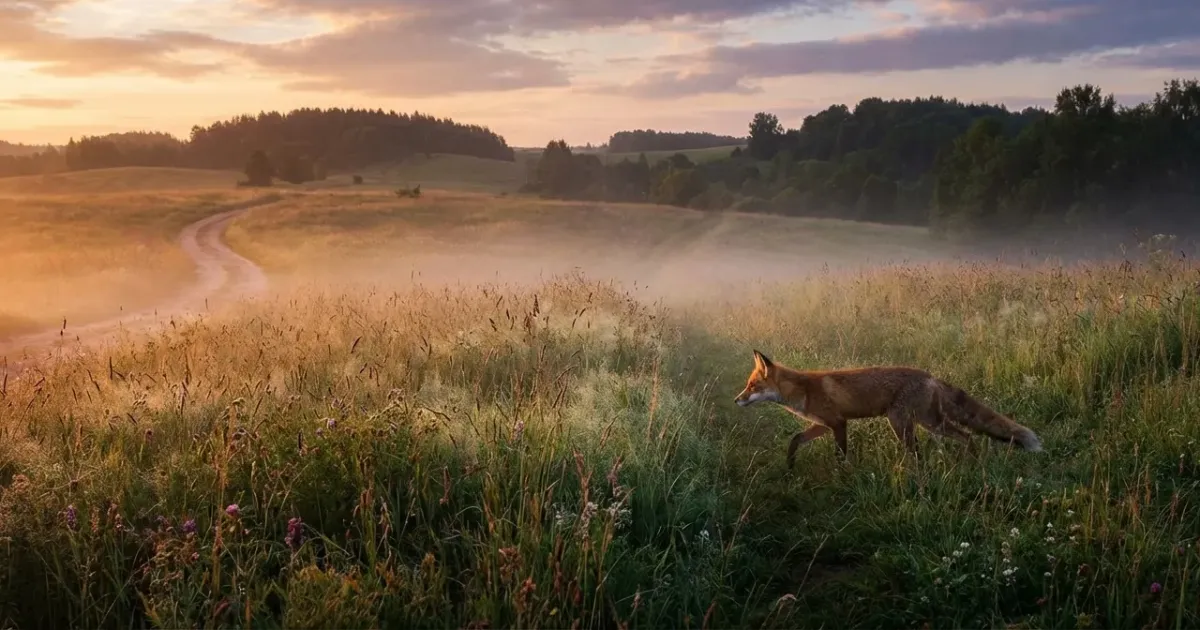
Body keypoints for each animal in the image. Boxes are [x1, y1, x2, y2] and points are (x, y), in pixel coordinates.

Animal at [733, 350, 1042, 467]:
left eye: (752, 386)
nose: (736, 400)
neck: (803, 390)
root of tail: (930, 375)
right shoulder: (823, 424)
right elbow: (796, 439)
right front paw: (789, 465)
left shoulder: (839, 423)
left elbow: (840, 456)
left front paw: (842, 477)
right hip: (926, 422)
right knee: (964, 437)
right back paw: (971, 461)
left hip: (904, 422)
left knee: (939, 445)